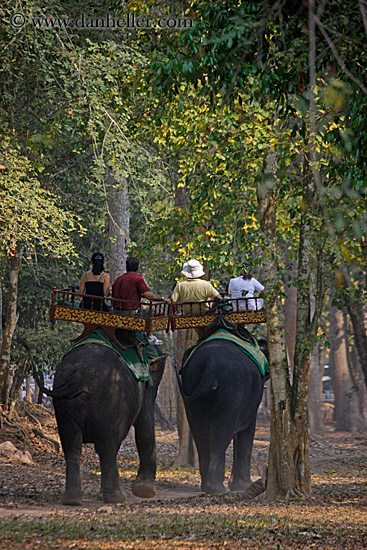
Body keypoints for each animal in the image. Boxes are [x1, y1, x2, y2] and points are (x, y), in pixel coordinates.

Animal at [180, 336, 268, 496]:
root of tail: (210, 365)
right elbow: (247, 430)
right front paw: (243, 485)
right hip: (231, 390)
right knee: (221, 432)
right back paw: (216, 488)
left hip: (191, 391)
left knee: (199, 431)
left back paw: (207, 487)